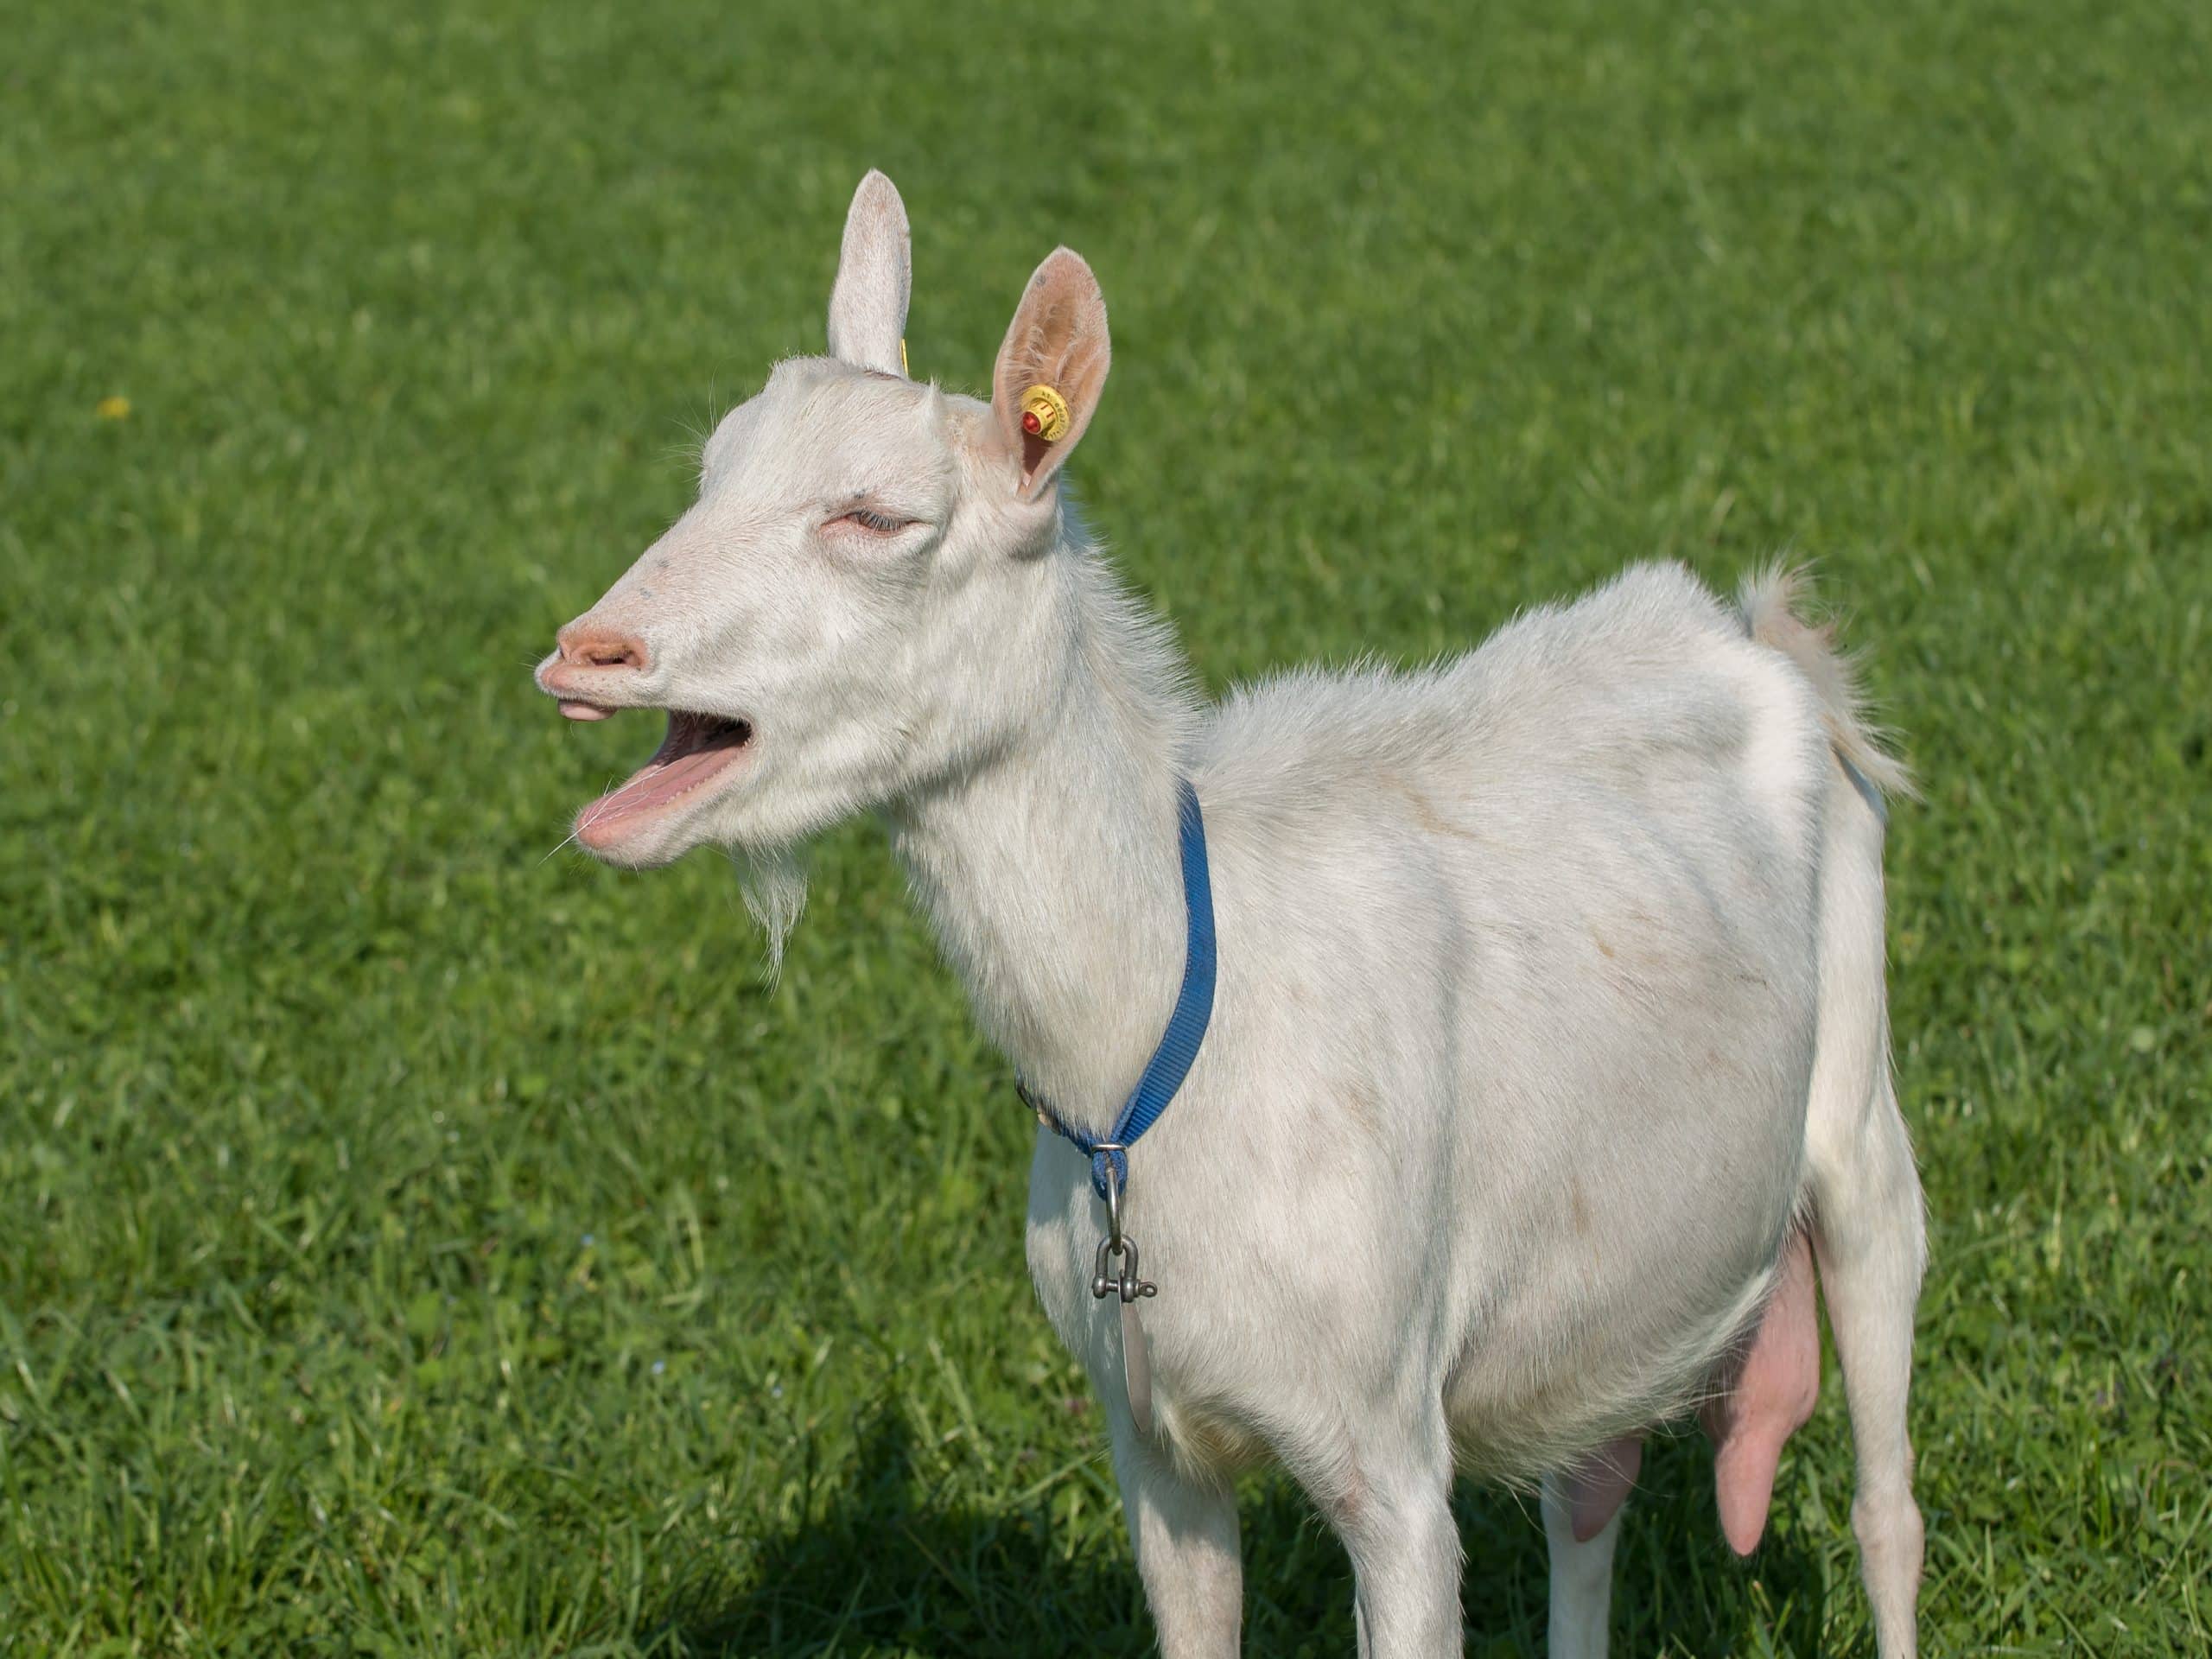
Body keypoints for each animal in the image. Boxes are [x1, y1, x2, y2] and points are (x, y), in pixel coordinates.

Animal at [534, 171, 1926, 1657]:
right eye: (713, 468)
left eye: (877, 518)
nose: (587, 652)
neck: (1152, 1054)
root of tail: (1760, 632)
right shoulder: (1152, 1438)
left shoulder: (1390, 1457)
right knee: (1587, 1490)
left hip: (1861, 1109)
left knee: (1884, 1494)